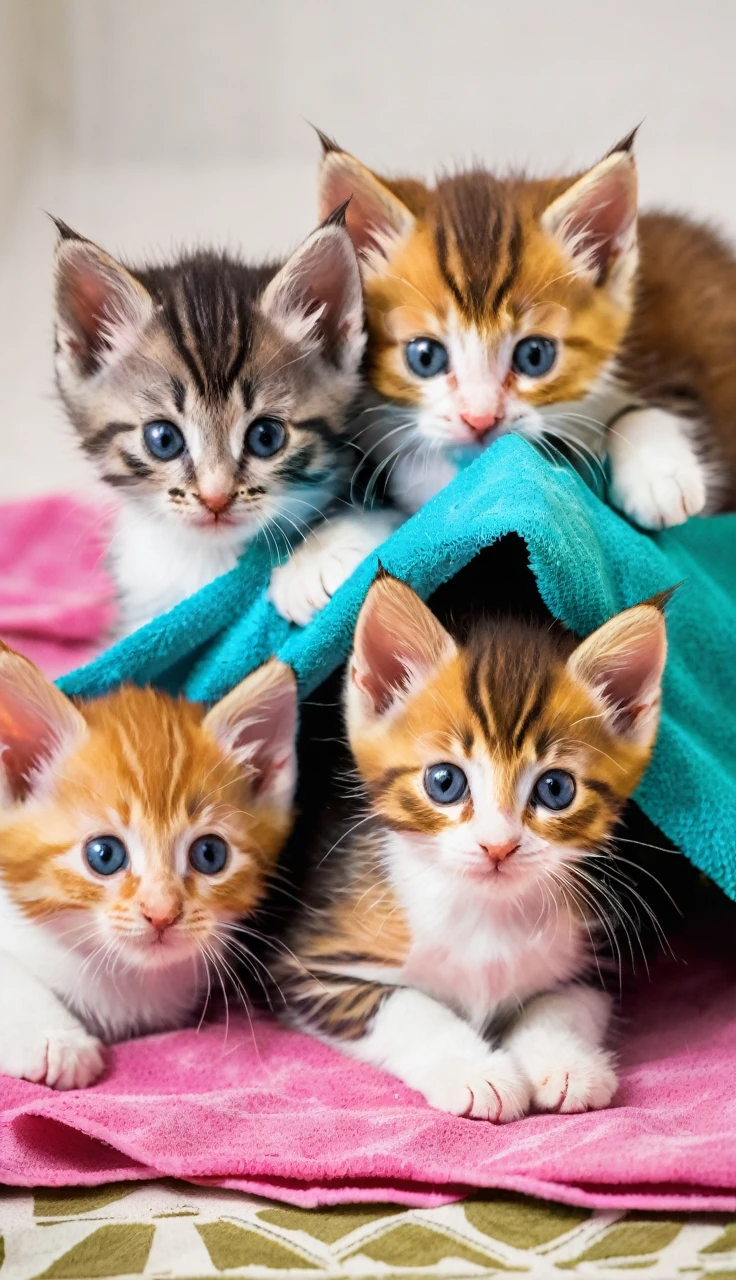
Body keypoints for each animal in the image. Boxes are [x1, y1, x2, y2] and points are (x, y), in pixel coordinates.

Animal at [276, 576, 665, 1126]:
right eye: (444, 782)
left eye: (556, 790)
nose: (498, 845)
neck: (486, 913)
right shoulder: (316, 966)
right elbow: (408, 1009)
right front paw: (476, 1071)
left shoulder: (597, 955)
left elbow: (562, 1004)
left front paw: (567, 1062)